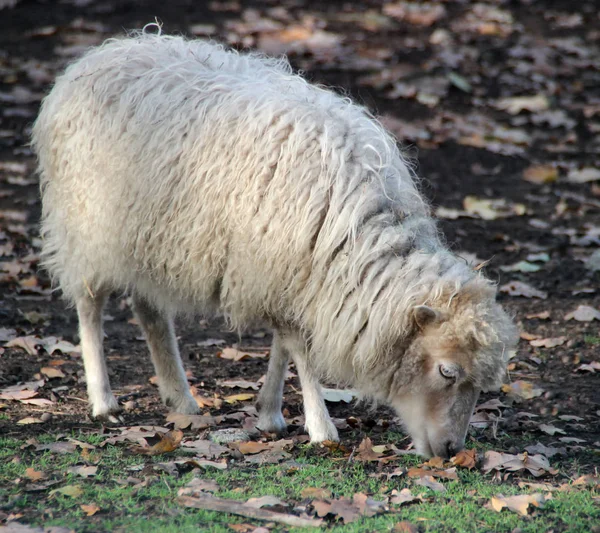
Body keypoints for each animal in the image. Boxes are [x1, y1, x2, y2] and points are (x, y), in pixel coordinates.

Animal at [31, 29, 516, 458]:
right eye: (447, 371)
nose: (452, 451)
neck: (360, 235)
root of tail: (102, 53)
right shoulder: (282, 265)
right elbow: (300, 347)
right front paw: (320, 426)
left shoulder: (291, 274)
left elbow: (284, 343)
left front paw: (269, 412)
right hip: (87, 222)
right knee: (89, 304)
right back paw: (103, 400)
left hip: (149, 238)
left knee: (149, 309)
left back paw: (180, 397)